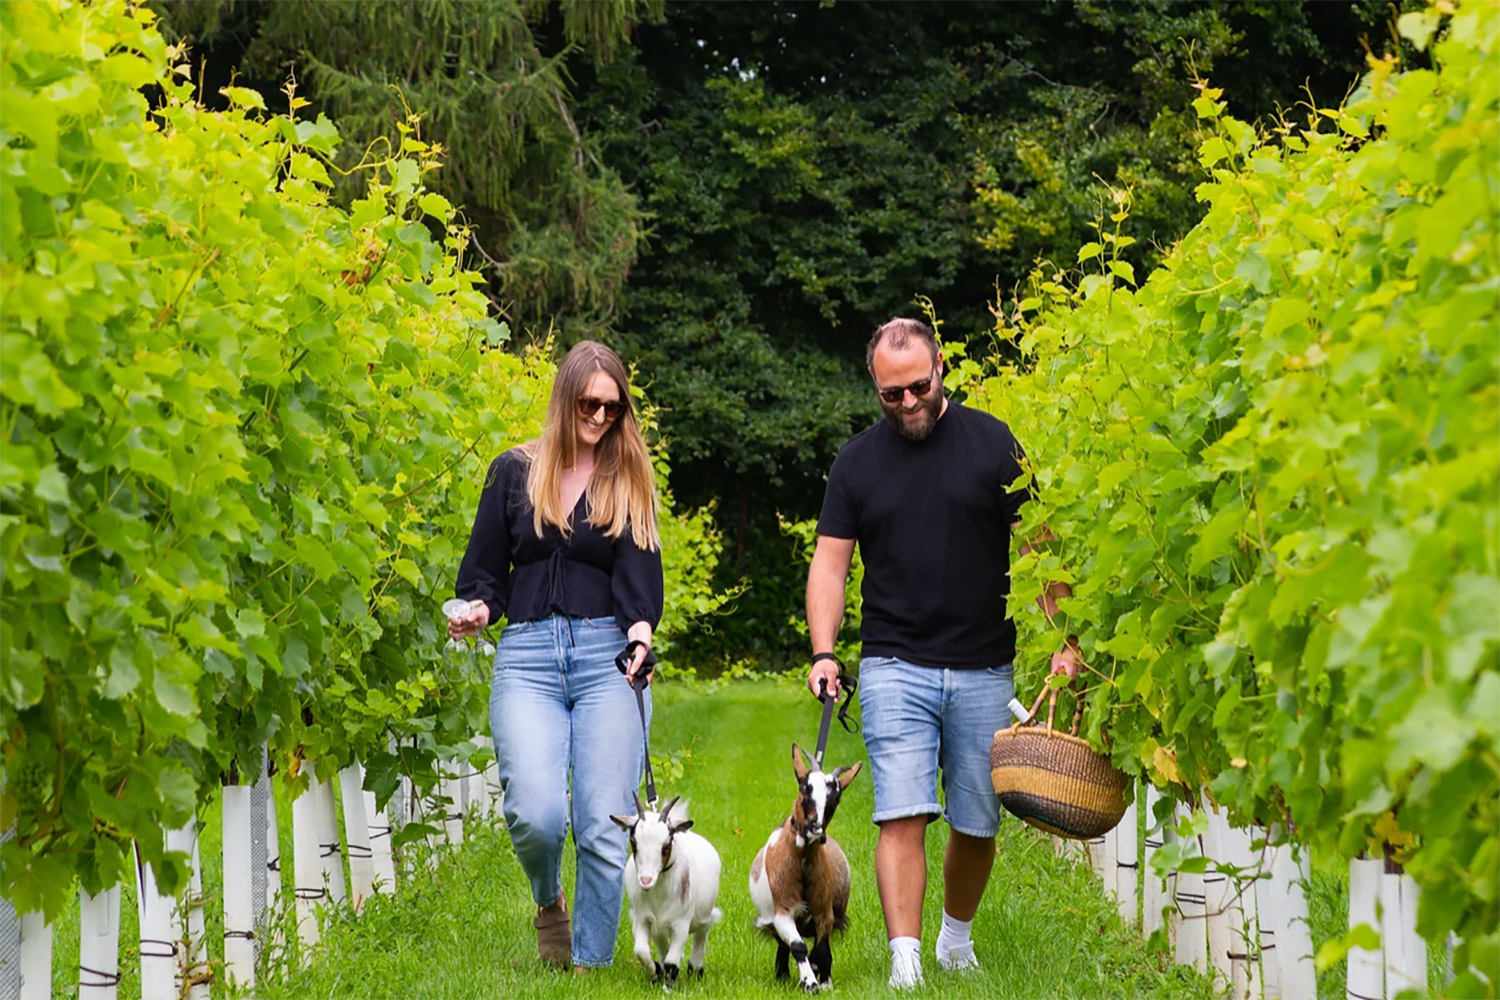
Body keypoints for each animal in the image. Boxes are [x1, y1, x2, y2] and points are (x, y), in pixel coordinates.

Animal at [609, 791, 726, 989]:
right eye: (633, 842)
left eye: (665, 845)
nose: (646, 880)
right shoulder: (642, 918)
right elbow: (641, 951)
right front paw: (655, 973)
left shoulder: (681, 924)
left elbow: (672, 961)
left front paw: (668, 988)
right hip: (658, 927)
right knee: (663, 946)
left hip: (702, 917)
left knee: (701, 935)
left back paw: (695, 971)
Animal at [747, 743, 864, 995]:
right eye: (804, 788)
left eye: (836, 798)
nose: (815, 827)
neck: (801, 863)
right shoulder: (782, 910)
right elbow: (798, 946)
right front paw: (810, 983)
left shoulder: (824, 912)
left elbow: (822, 950)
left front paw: (825, 982)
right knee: (784, 946)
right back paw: (782, 975)